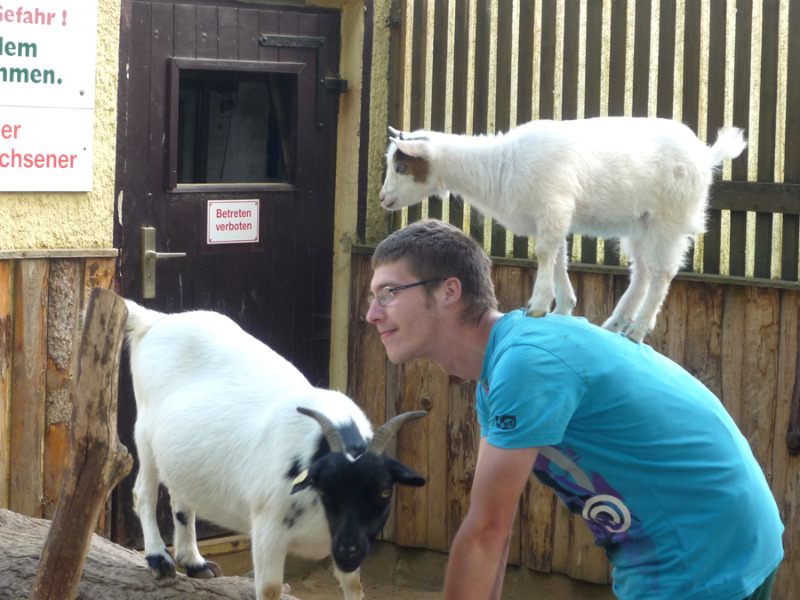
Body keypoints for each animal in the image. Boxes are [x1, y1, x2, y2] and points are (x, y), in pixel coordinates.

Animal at [123, 302, 424, 600]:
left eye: (384, 492)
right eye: (326, 488)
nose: (349, 550)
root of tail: (156, 320)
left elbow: (354, 587)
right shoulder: (268, 532)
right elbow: (270, 589)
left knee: (180, 496)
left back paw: (195, 563)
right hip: (144, 431)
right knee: (143, 492)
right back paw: (159, 559)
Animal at [380, 117, 744, 342]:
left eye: (401, 166)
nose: (383, 198)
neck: (501, 165)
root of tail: (705, 154)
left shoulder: (553, 205)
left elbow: (544, 253)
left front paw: (538, 306)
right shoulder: (550, 216)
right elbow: (556, 257)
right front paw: (565, 307)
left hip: (670, 217)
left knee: (664, 272)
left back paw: (638, 330)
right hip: (639, 222)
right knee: (642, 272)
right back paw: (614, 324)